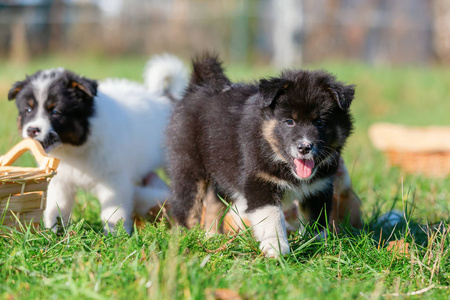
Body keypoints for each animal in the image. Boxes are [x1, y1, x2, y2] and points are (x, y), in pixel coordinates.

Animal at [166, 54, 356, 255]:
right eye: (289, 121)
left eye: (320, 122)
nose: (304, 147)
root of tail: (199, 87)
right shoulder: (259, 181)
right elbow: (272, 219)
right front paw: (277, 250)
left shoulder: (319, 188)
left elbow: (317, 222)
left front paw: (318, 248)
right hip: (189, 169)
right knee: (186, 210)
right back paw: (188, 241)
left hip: (222, 170)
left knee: (212, 205)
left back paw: (213, 240)